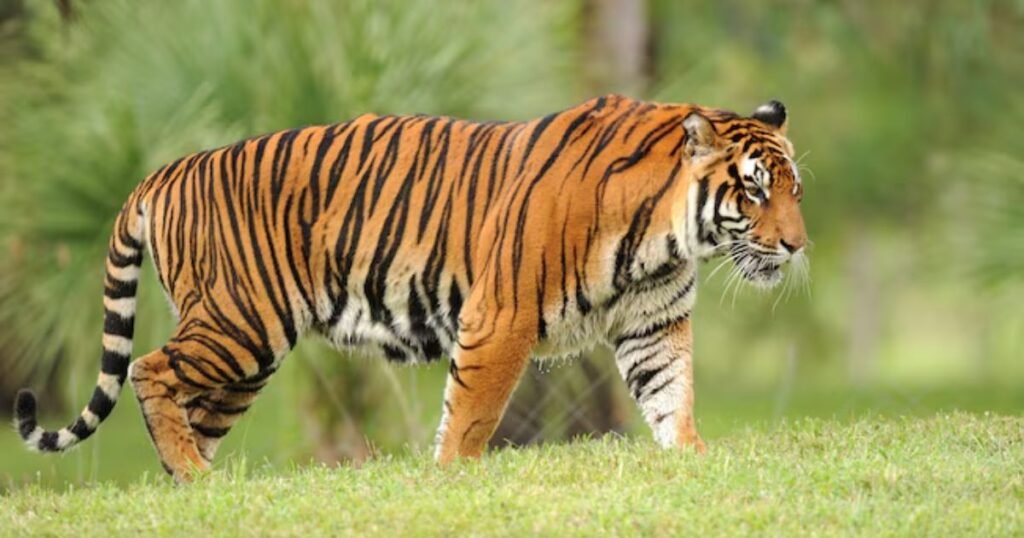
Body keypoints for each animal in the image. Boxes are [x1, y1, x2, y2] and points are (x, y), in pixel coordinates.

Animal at [14, 94, 807, 482]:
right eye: (755, 191)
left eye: (794, 190)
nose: (797, 246)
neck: (665, 233)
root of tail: (166, 170)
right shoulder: (500, 316)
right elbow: (472, 414)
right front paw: (452, 477)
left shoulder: (653, 326)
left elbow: (672, 398)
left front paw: (692, 460)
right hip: (239, 323)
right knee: (150, 370)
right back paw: (190, 476)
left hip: (245, 356)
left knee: (187, 409)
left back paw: (194, 487)